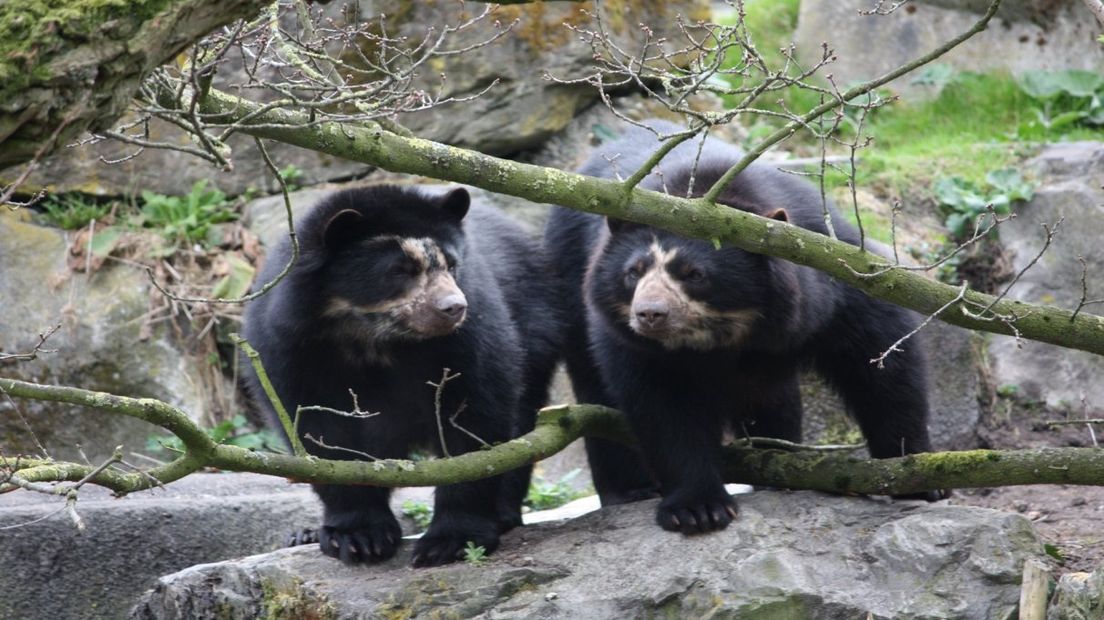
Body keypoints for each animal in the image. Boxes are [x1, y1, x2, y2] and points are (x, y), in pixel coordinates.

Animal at [247, 184, 565, 564]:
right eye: (401, 270)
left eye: (452, 264)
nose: (454, 307)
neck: (373, 337)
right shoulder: (291, 348)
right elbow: (319, 431)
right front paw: (357, 537)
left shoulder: (469, 339)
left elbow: (475, 417)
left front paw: (450, 541)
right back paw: (303, 534)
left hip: (537, 326)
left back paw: (503, 514)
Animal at [547, 119, 936, 531]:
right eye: (633, 272)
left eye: (694, 274)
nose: (650, 313)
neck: (731, 334)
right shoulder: (633, 344)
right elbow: (663, 405)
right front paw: (698, 509)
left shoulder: (835, 283)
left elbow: (880, 362)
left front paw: (918, 476)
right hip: (568, 280)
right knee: (593, 390)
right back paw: (630, 490)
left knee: (774, 396)